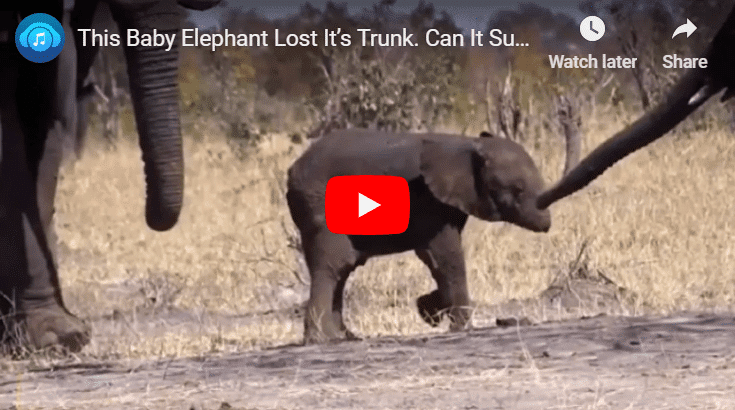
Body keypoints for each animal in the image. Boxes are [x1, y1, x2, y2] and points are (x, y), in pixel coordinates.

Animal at [286, 129, 552, 344]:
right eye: (517, 190)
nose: (546, 224)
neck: (469, 144)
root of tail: (292, 169)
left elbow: (436, 260)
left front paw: (428, 308)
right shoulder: (428, 200)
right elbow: (446, 256)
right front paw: (460, 326)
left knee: (341, 270)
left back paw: (344, 337)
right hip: (320, 203)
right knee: (333, 264)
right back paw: (321, 340)